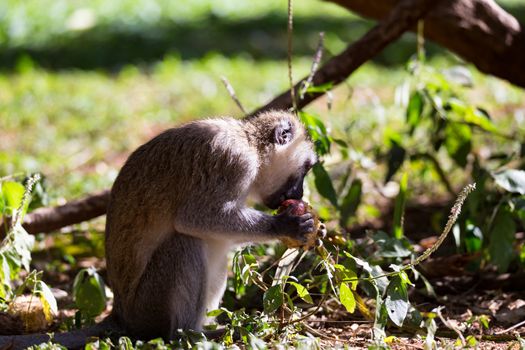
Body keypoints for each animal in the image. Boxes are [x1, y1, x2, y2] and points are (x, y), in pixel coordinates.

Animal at [105, 109, 316, 340]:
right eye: (306, 168)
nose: (300, 194)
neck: (252, 144)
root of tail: (121, 315)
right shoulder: (235, 161)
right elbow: (193, 217)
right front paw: (285, 225)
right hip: (148, 306)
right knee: (185, 243)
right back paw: (190, 333)